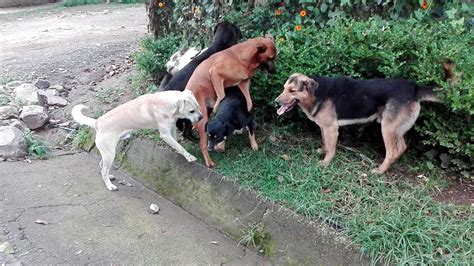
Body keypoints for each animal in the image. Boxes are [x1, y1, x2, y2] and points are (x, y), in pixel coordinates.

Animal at [71, 90, 202, 191]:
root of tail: (97, 122)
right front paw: (189, 156)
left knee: (101, 165)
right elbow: (179, 146)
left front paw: (180, 152)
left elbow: (177, 144)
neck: (165, 103)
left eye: (198, 107)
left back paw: (110, 176)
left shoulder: (172, 128)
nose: (201, 117)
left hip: (109, 152)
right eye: (191, 111)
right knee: (103, 171)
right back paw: (110, 186)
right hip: (110, 154)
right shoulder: (165, 134)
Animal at [183, 36, 276, 167]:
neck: (241, 59)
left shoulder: (243, 83)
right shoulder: (215, 72)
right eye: (270, 58)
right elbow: (221, 94)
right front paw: (218, 105)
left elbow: (248, 100)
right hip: (203, 118)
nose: (275, 71)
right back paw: (209, 161)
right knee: (202, 145)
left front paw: (248, 107)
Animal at [276, 63, 458, 174]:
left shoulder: (331, 129)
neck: (316, 93)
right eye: (284, 88)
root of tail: (415, 88)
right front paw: (322, 151)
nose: (276, 102)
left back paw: (380, 171)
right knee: (401, 147)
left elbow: (331, 148)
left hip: (387, 128)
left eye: (292, 91)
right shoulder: (324, 128)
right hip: (395, 128)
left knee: (392, 151)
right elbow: (325, 142)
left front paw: (326, 162)